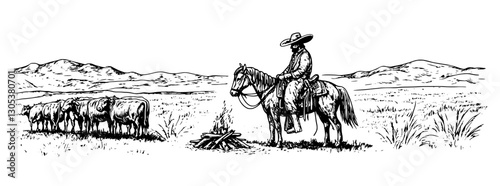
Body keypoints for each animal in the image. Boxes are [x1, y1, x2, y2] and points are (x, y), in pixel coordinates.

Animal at [230, 63, 360, 147]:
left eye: (239, 78)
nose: (232, 92)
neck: (270, 91)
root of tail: (336, 88)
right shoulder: (268, 114)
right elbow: (271, 127)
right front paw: (270, 142)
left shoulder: (274, 112)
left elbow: (277, 126)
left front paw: (279, 143)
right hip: (320, 112)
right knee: (326, 125)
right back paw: (325, 143)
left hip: (329, 112)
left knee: (337, 125)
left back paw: (338, 143)